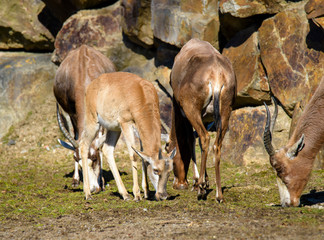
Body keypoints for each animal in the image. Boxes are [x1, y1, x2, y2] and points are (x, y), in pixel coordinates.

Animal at [53, 44, 117, 188]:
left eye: (94, 158)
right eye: (77, 159)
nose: (93, 188)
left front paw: (102, 181)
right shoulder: (73, 113)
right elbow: (77, 137)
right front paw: (76, 179)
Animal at [79, 71, 177, 201]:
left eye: (170, 170)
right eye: (156, 170)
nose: (163, 195)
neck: (141, 94)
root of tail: (92, 85)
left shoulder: (139, 129)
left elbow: (143, 155)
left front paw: (146, 192)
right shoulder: (126, 124)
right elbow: (134, 155)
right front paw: (137, 195)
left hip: (114, 129)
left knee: (107, 150)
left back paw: (124, 194)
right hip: (93, 122)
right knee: (83, 145)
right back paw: (88, 193)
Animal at [166, 39, 237, 201]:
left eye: (171, 161)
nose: (179, 184)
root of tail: (216, 74)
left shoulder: (183, 112)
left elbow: (191, 140)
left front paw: (197, 182)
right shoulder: (206, 118)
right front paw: (205, 180)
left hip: (191, 111)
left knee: (204, 138)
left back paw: (201, 189)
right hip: (225, 112)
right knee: (216, 144)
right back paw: (218, 195)